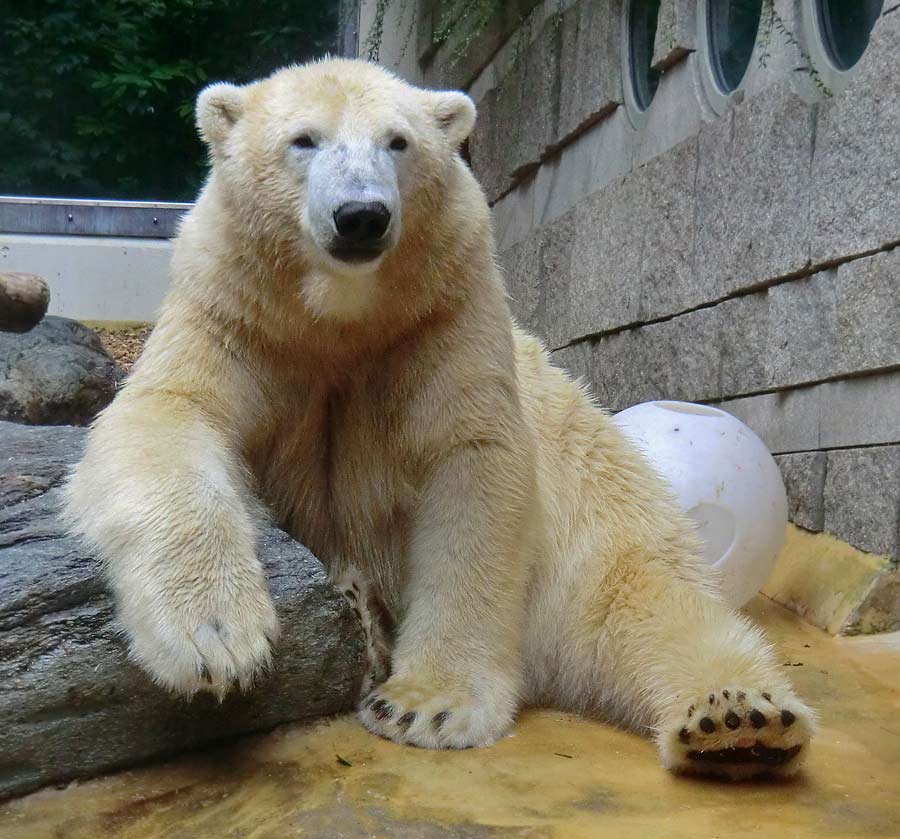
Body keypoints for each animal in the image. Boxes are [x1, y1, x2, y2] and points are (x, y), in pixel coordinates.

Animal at [67, 57, 816, 780]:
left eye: (398, 141)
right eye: (303, 139)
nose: (361, 215)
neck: (340, 319)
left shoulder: (443, 317)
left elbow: (472, 473)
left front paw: (425, 705)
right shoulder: (235, 312)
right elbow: (172, 413)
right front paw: (216, 641)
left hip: (600, 519)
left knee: (652, 607)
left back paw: (737, 719)